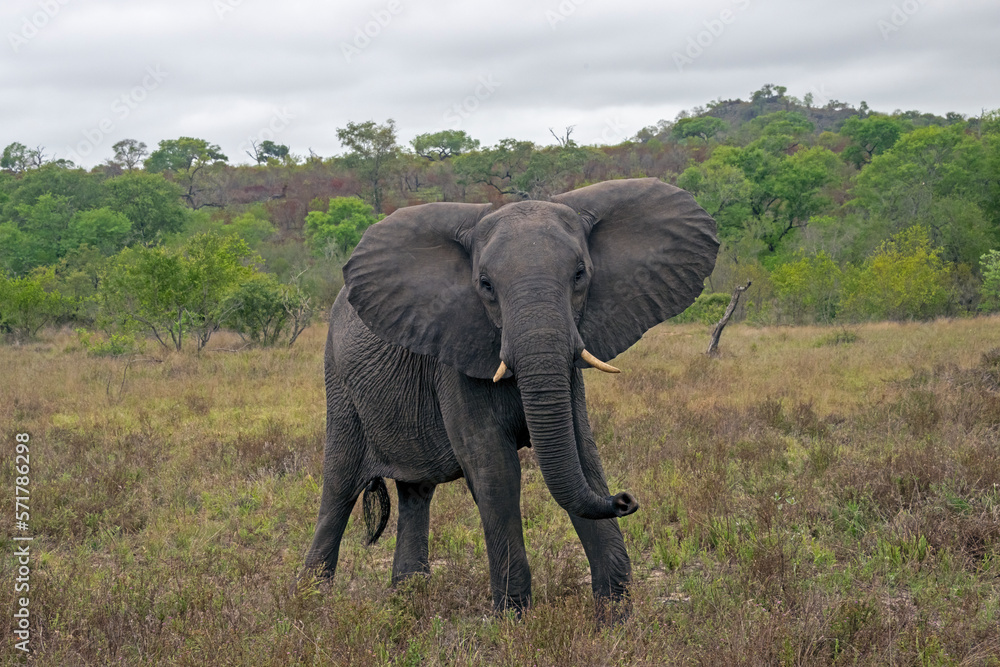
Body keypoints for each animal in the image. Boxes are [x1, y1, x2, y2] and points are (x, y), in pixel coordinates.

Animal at [305, 178, 718, 621]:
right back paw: (308, 601)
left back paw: (408, 599)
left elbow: (583, 457)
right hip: (338, 381)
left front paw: (615, 619)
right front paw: (514, 621)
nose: (626, 500)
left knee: (416, 492)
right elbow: (495, 470)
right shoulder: (457, 354)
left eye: (580, 275)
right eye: (485, 286)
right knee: (340, 486)